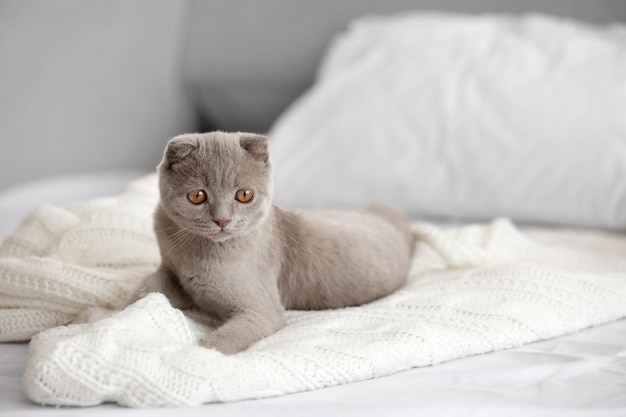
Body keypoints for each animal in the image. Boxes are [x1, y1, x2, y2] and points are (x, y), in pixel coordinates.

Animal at [130, 132, 414, 352]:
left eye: (244, 195)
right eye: (197, 195)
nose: (222, 220)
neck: (194, 252)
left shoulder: (261, 311)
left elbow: (219, 343)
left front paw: (198, 355)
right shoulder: (172, 268)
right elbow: (146, 289)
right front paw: (133, 305)